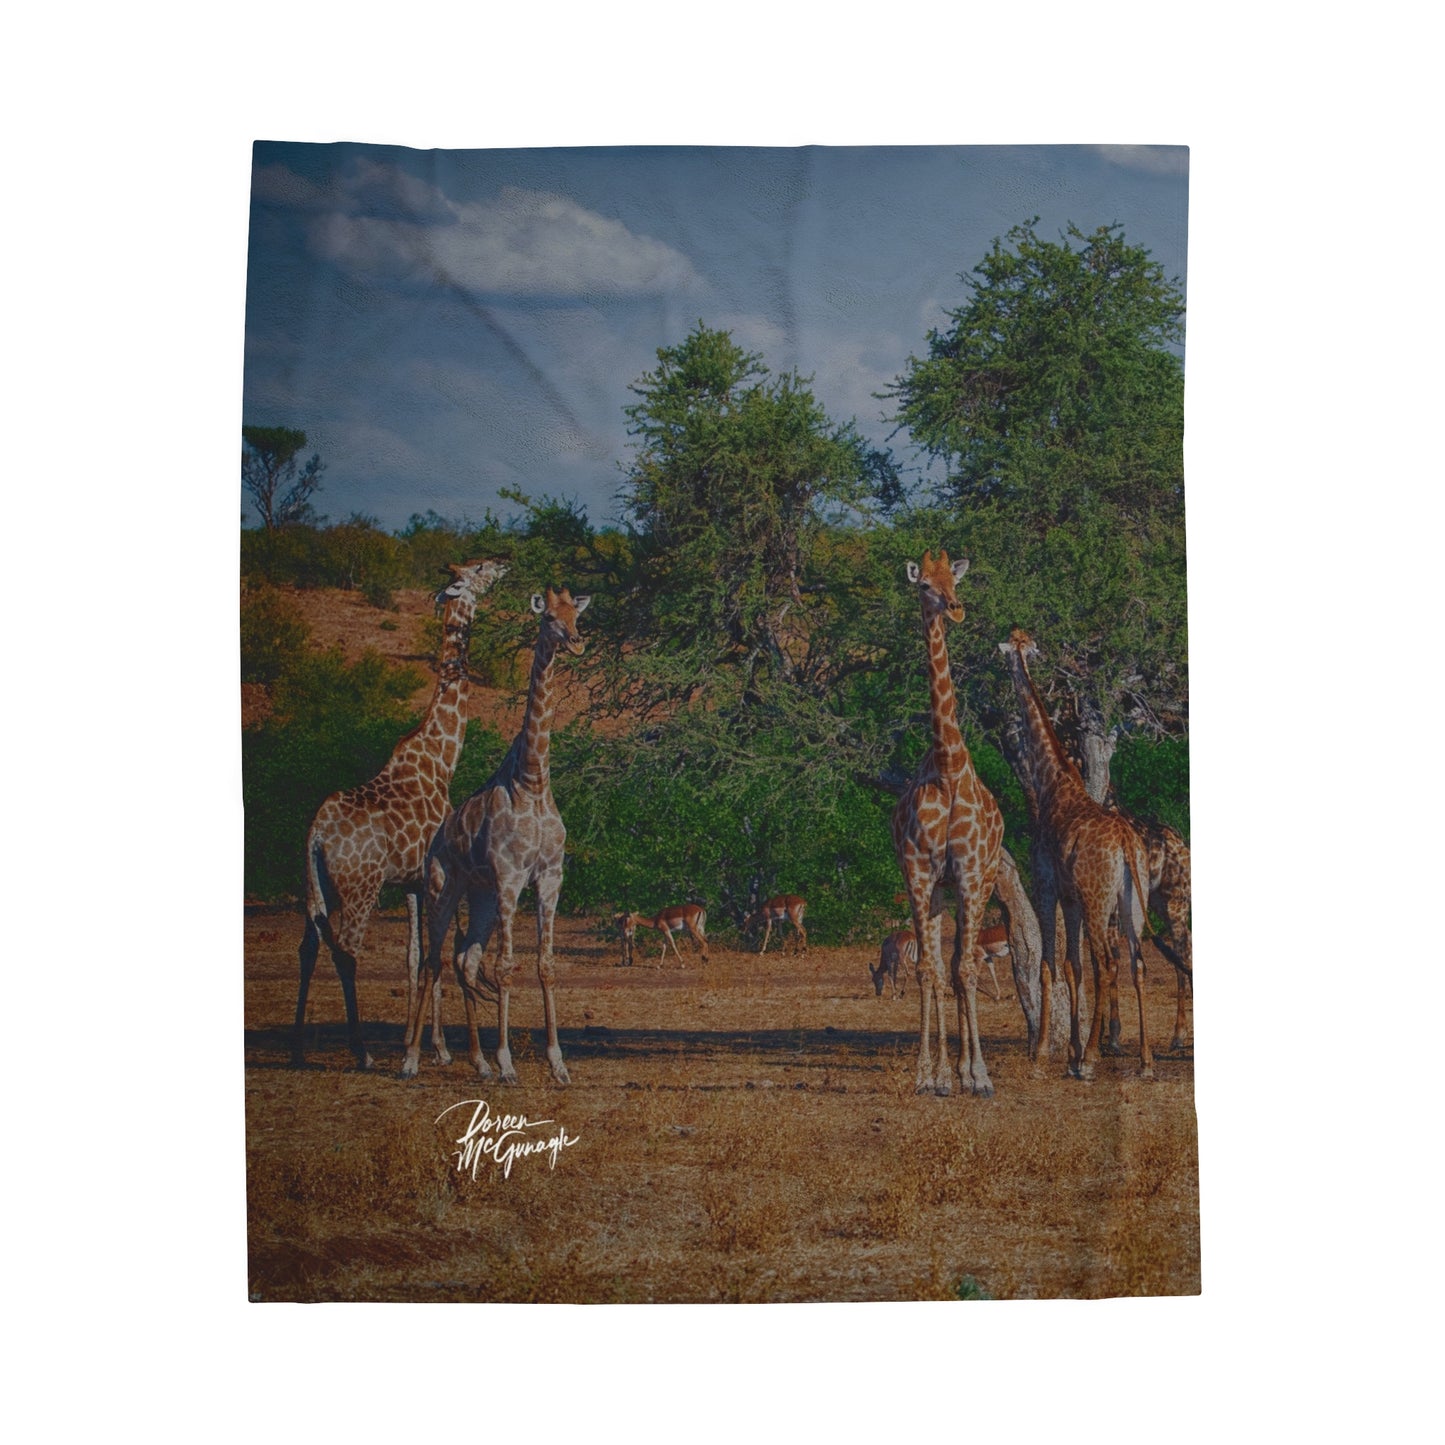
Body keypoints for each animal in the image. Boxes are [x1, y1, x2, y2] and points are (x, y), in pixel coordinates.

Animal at [293, 559, 507, 1069]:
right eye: (479, 568)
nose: (505, 561)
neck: (441, 758)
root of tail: (315, 835)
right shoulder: (444, 875)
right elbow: (441, 952)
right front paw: (443, 1049)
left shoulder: (411, 880)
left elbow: (415, 957)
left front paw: (422, 1044)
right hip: (360, 887)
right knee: (346, 951)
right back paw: (361, 1051)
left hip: (315, 886)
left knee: (308, 946)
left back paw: (296, 1049)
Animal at [401, 586, 591, 1084]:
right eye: (549, 619)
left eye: (577, 615)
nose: (577, 642)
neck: (533, 782)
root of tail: (436, 839)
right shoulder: (510, 877)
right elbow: (506, 967)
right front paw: (508, 1063)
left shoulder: (549, 877)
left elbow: (545, 964)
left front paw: (557, 1063)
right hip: (442, 889)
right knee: (433, 961)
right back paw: (411, 1060)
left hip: (481, 896)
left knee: (465, 961)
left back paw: (478, 1062)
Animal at [998, 627, 1154, 1079]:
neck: (1051, 782)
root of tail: (1126, 843)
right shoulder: (1071, 897)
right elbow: (1072, 966)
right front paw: (1068, 1051)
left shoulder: (1047, 885)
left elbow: (1049, 965)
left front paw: (1044, 1053)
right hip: (1130, 899)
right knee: (1136, 963)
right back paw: (1145, 1061)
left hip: (1099, 898)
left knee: (1108, 963)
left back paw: (1093, 1058)